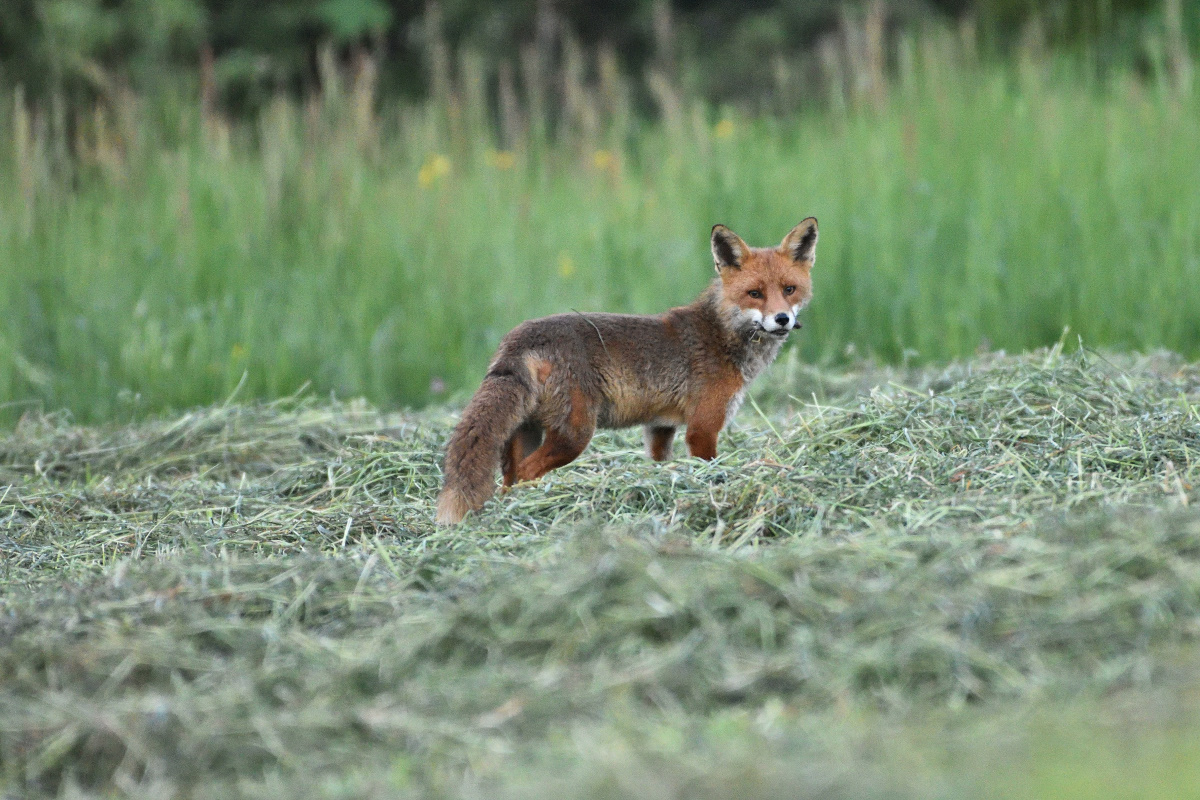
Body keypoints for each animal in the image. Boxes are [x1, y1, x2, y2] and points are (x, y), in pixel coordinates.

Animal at [435, 218, 818, 525]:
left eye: (789, 290)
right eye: (755, 293)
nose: (782, 319)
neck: (722, 334)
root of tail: (519, 336)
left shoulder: (660, 428)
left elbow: (660, 464)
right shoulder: (703, 428)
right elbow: (708, 463)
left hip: (525, 433)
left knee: (509, 479)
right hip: (574, 435)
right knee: (528, 474)